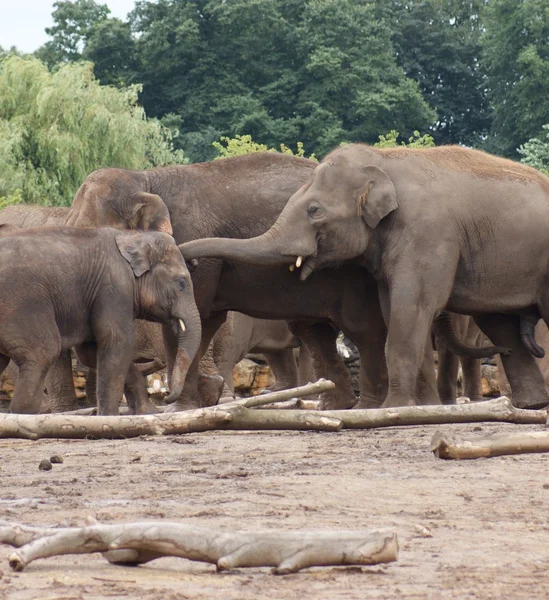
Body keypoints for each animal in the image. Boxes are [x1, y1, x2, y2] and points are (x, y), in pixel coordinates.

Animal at [0, 225, 200, 412]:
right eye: (181, 283)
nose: (166, 397)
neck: (131, 235)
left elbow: (91, 352)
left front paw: (146, 412)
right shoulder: (114, 288)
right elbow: (117, 343)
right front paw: (109, 416)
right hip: (22, 302)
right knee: (42, 353)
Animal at [178, 144, 544, 410]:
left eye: (314, 210)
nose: (189, 260)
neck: (383, 161)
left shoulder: (429, 234)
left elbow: (412, 306)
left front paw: (394, 408)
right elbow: (394, 310)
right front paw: (409, 407)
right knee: (501, 324)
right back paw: (531, 404)